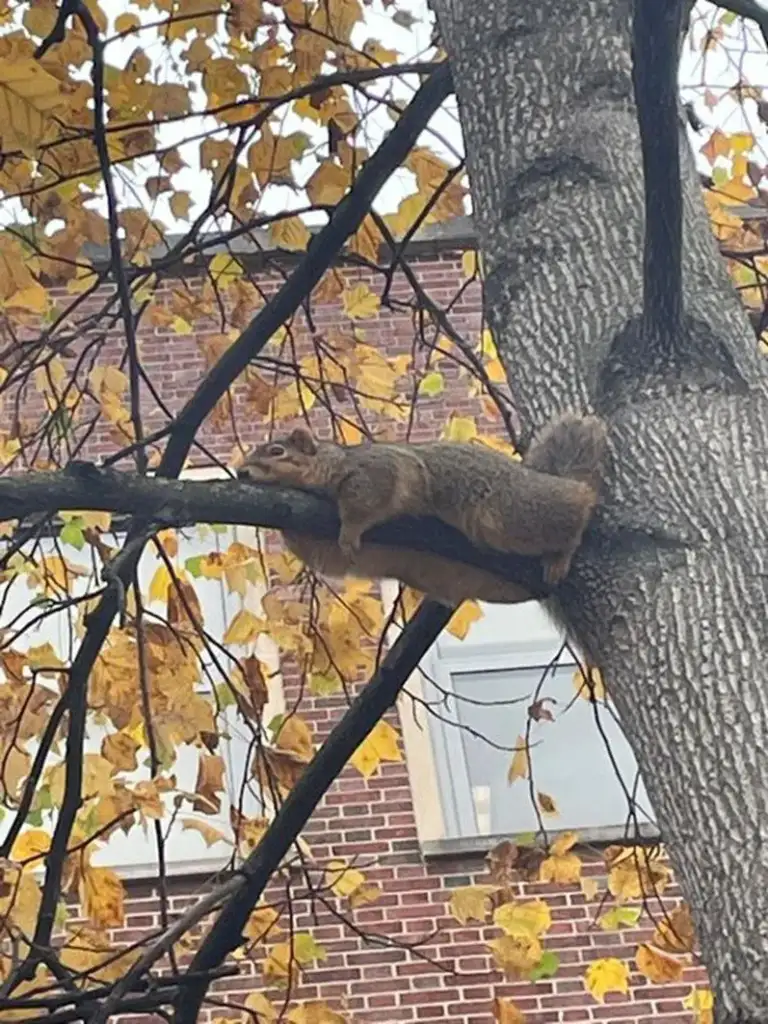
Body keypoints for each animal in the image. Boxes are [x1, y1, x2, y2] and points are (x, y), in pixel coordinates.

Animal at [237, 409, 610, 598]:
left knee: (575, 505)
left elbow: (363, 505)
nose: (240, 471)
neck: (333, 463)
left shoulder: (377, 471)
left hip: (510, 513)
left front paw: (349, 532)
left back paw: (562, 551)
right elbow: (325, 556)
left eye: (277, 451)